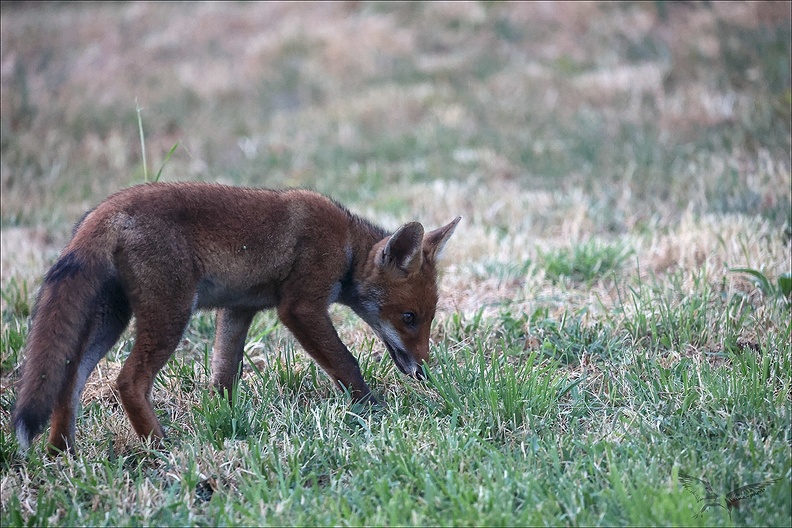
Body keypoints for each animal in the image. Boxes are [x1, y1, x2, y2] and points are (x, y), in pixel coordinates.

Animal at [10, 182, 458, 454]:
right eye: (409, 316)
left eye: (427, 318)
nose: (424, 372)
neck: (346, 246)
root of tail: (106, 209)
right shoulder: (300, 307)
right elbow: (347, 363)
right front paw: (372, 409)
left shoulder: (239, 309)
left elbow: (224, 375)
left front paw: (223, 423)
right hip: (170, 313)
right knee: (127, 381)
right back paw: (161, 447)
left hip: (112, 320)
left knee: (68, 379)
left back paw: (62, 453)